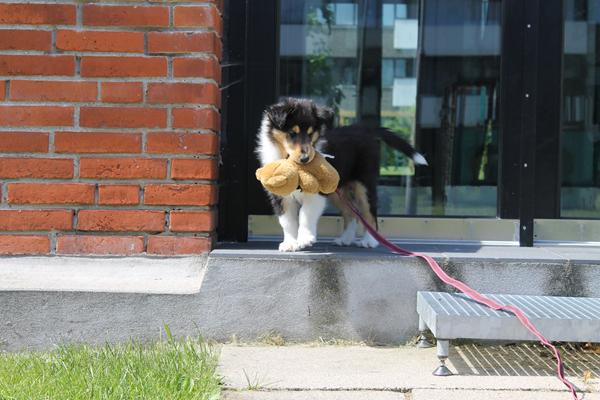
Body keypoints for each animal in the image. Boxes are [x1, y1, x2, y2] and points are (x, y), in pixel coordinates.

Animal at [254, 98, 426, 252]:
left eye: (311, 134)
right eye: (291, 133)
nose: (305, 159)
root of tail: (365, 130)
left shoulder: (316, 194)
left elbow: (305, 214)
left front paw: (305, 239)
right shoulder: (280, 195)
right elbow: (287, 221)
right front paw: (290, 244)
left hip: (364, 183)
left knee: (369, 212)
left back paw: (369, 241)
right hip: (338, 190)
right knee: (351, 213)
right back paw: (345, 239)